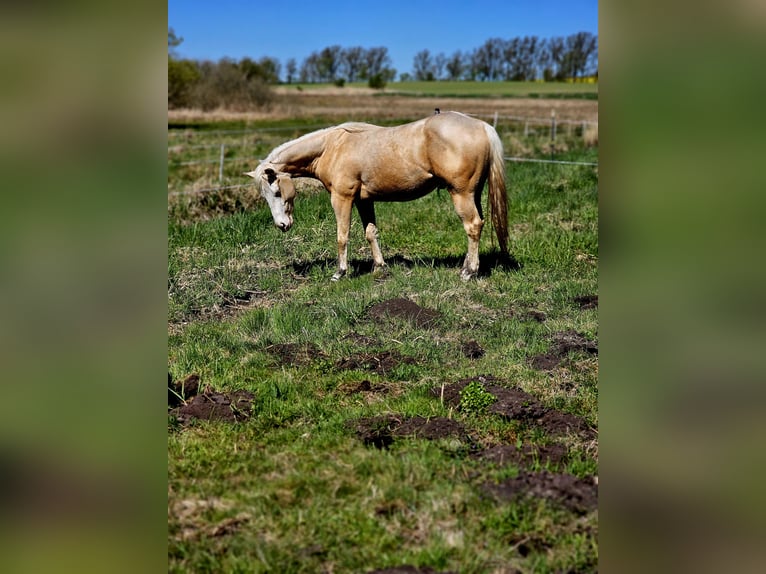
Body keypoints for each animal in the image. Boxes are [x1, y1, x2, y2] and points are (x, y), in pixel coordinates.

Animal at [245, 111, 509, 281]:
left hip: (461, 194)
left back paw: (469, 272)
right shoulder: (364, 201)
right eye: (266, 197)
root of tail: (482, 126)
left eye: (277, 192)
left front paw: (340, 272)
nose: (282, 225)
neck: (332, 147)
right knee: (477, 226)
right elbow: (371, 233)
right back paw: (467, 267)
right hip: (474, 194)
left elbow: (342, 236)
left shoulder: (342, 199)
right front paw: (380, 267)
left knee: (472, 226)